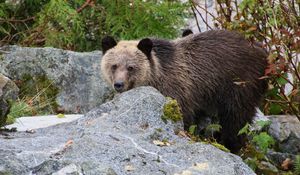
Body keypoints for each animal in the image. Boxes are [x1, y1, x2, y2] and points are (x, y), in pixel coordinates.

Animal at [100, 29, 268, 152]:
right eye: (114, 65)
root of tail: (263, 52)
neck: (157, 77)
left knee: (236, 118)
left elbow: (184, 117)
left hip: (239, 82)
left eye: (131, 67)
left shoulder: (178, 91)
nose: (119, 84)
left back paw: (229, 144)